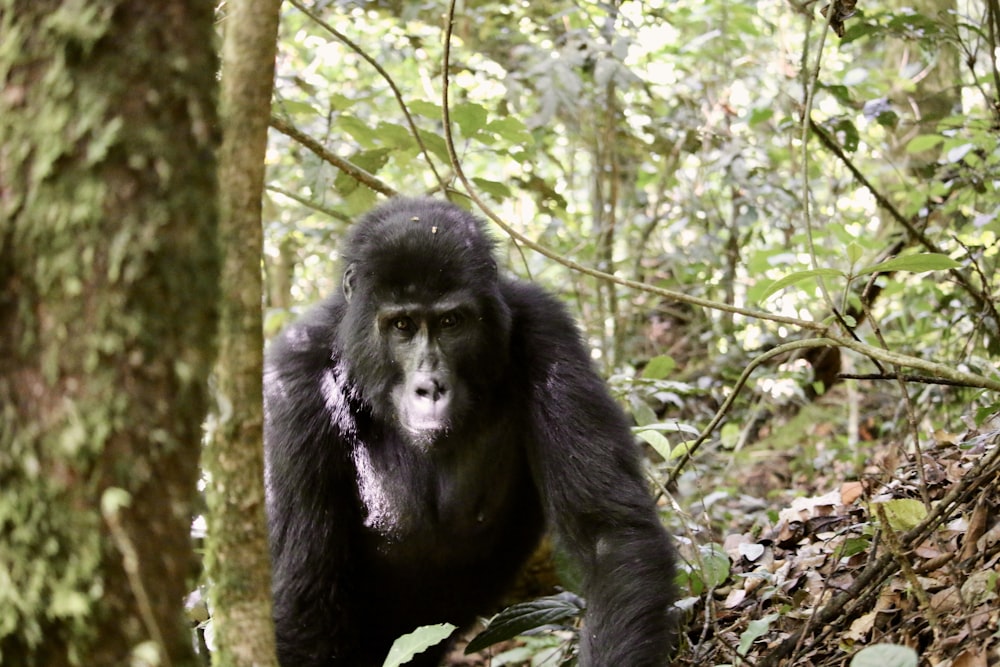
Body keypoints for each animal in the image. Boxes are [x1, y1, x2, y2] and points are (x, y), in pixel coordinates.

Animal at [262, 196, 676, 664]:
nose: (430, 388)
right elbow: (304, 596)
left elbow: (609, 536)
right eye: (402, 326)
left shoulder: (546, 329)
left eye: (450, 323)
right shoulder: (294, 377)